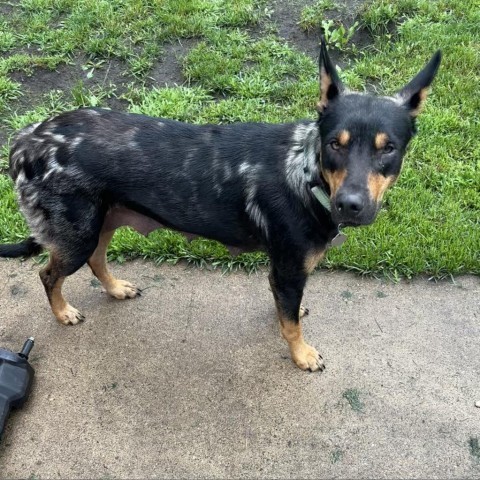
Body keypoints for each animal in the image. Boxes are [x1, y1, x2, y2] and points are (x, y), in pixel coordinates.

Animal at [0, 42, 442, 372]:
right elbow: (289, 325)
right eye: (336, 143)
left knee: (96, 259)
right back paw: (63, 313)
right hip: (77, 232)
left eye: (389, 149)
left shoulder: (283, 274)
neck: (305, 173)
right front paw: (301, 355)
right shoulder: (287, 270)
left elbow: (285, 312)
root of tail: (25, 139)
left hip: (102, 220)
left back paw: (115, 288)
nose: (350, 205)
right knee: (48, 274)